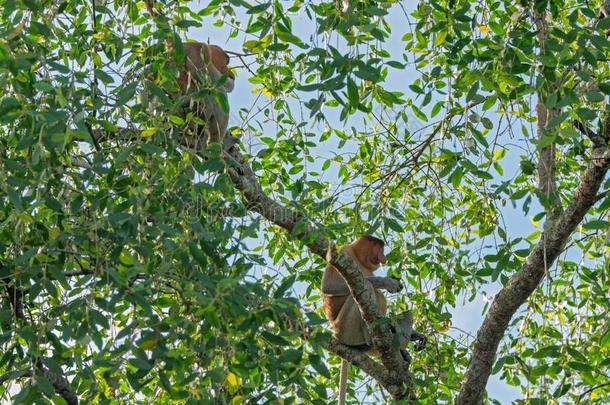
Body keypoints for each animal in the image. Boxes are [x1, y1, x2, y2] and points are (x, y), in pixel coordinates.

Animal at [320, 235, 426, 402]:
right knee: (363, 289)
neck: (358, 257)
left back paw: (400, 350)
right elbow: (330, 286)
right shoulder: (343, 251)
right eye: (379, 248)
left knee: (405, 315)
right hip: (345, 329)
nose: (384, 256)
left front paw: (419, 336)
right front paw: (389, 282)